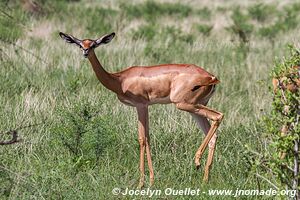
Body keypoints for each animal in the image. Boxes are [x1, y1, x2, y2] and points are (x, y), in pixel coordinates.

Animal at [58, 31, 223, 188]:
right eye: (80, 44)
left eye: (94, 44)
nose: (85, 52)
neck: (120, 80)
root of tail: (211, 77)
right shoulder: (146, 107)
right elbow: (148, 138)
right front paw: (151, 180)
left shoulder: (141, 106)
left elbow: (142, 139)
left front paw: (141, 183)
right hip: (195, 107)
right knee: (213, 134)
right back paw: (205, 179)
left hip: (184, 104)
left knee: (219, 116)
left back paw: (197, 162)